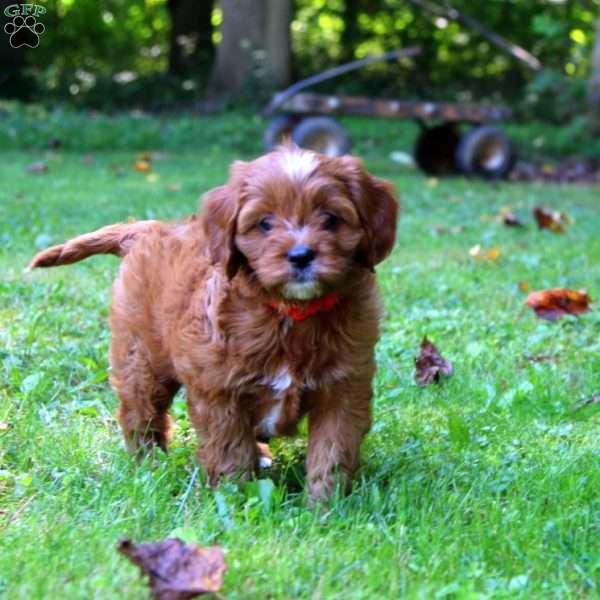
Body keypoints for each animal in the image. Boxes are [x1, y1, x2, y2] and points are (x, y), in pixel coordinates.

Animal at [28, 148, 398, 504]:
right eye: (265, 224)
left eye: (331, 219)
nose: (301, 255)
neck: (292, 312)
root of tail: (146, 229)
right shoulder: (220, 392)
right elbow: (230, 450)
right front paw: (236, 500)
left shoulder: (344, 388)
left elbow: (331, 451)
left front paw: (324, 507)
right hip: (141, 358)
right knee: (139, 414)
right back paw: (149, 467)